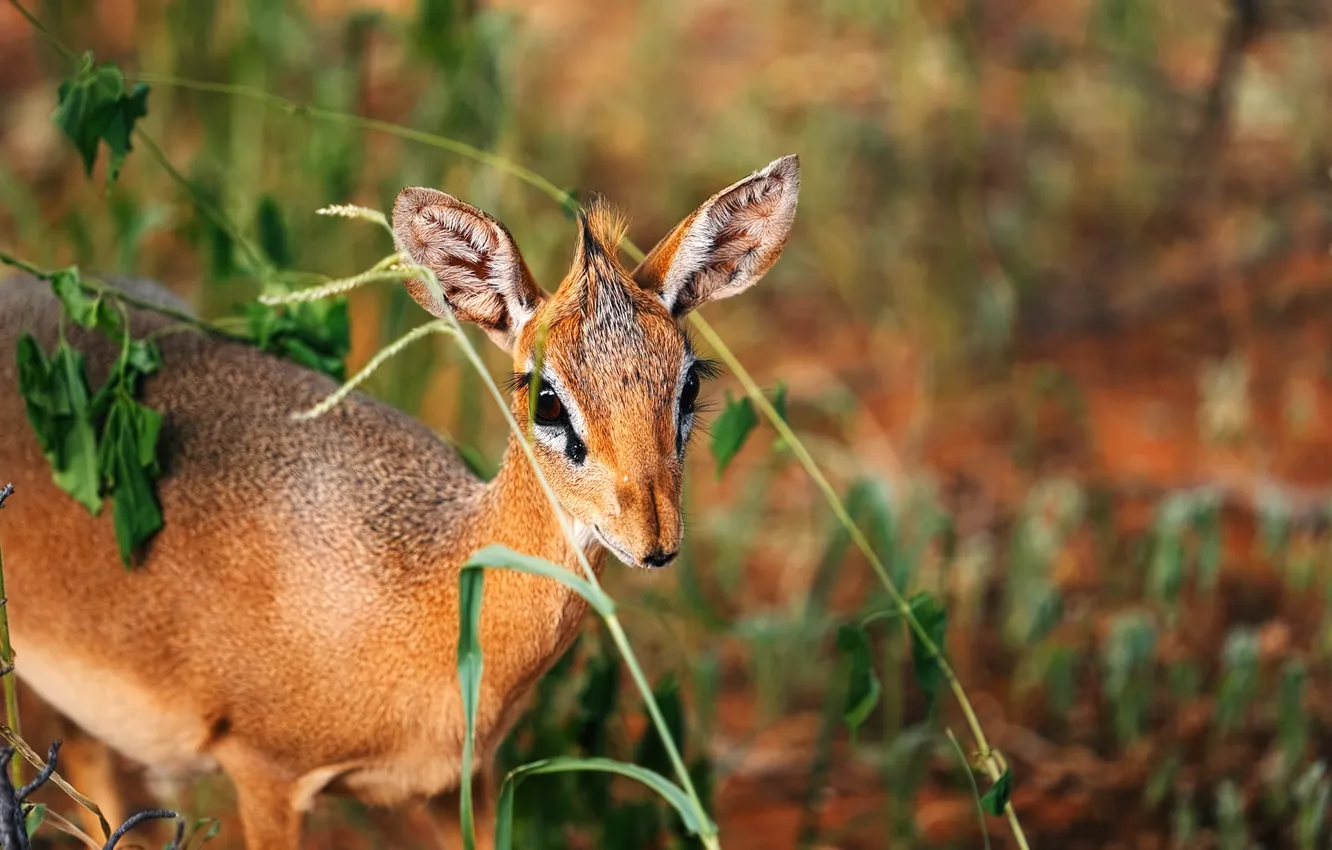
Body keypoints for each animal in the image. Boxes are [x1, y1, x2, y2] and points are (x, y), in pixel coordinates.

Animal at [0, 154, 800, 848]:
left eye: (689, 384)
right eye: (545, 396)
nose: (654, 538)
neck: (419, 584)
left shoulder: (455, 784)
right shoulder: (266, 773)